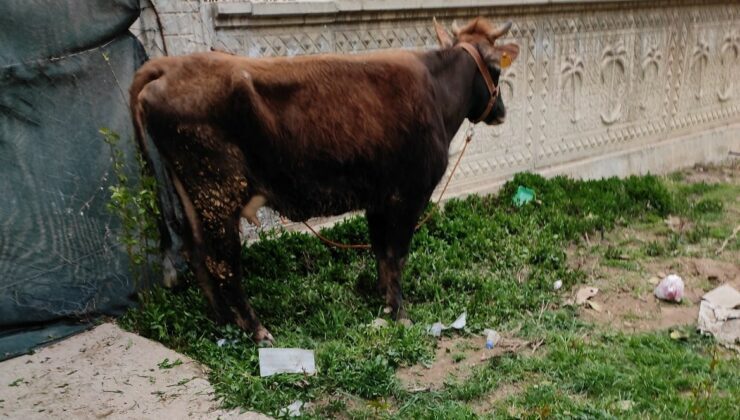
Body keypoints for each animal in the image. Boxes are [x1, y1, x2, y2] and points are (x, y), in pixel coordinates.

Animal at [129, 17, 520, 344]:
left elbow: (381, 252)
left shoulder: (379, 198)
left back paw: (224, 323)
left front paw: (382, 299)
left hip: (193, 195)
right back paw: (256, 330)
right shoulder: (408, 194)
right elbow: (397, 254)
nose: (502, 112)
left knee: (197, 254)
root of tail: (168, 66)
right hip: (217, 192)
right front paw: (399, 312)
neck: (437, 92)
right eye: (496, 70)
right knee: (222, 262)